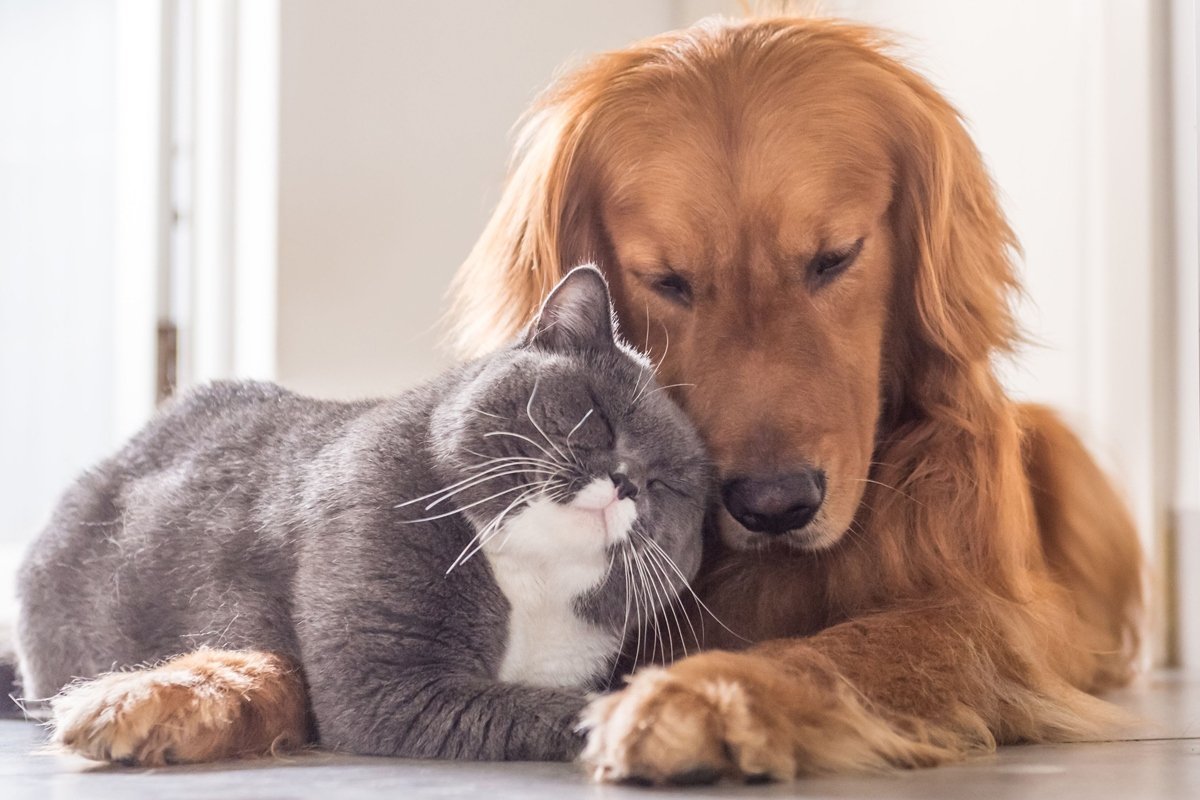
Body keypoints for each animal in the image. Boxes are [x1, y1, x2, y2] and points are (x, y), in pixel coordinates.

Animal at [16, 267, 710, 762]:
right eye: (600, 416)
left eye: (668, 485)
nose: (627, 482)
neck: (532, 581)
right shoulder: (390, 684)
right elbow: (552, 708)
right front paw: (645, 720)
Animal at [446, 15, 1137, 786]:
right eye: (668, 281)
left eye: (836, 258)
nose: (774, 506)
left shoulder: (989, 615)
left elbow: (853, 645)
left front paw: (706, 694)